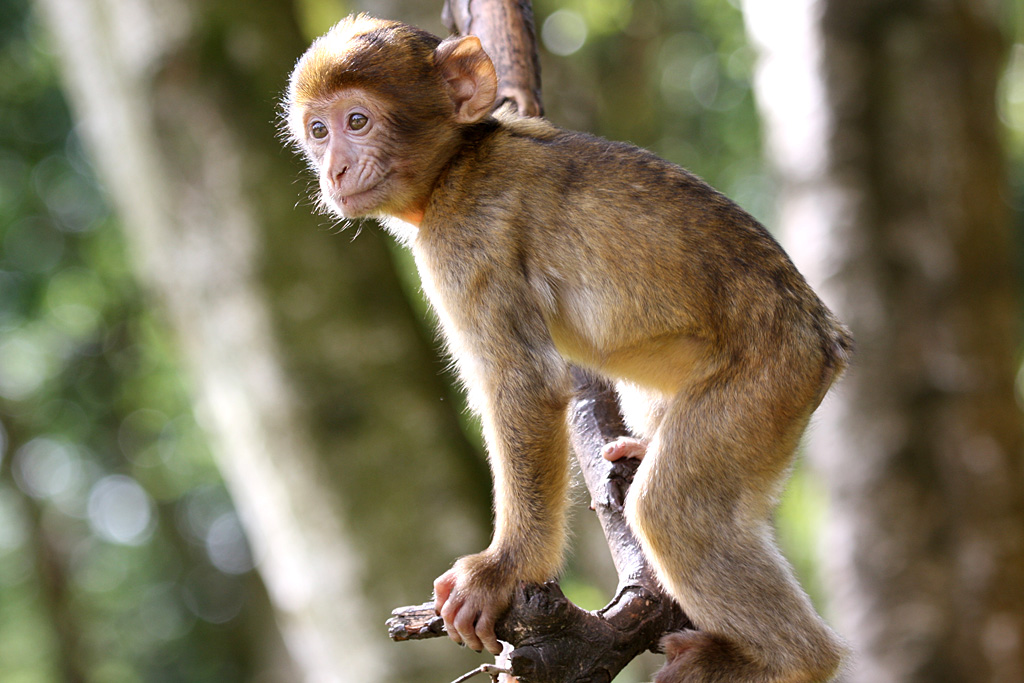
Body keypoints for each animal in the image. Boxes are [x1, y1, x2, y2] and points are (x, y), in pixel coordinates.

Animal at [284, 15, 852, 683]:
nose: (334, 171)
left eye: (357, 121)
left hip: (770, 375)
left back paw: (786, 660)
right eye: (318, 131)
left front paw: (503, 571)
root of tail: (822, 334)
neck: (458, 161)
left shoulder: (464, 239)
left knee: (671, 510)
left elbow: (526, 384)